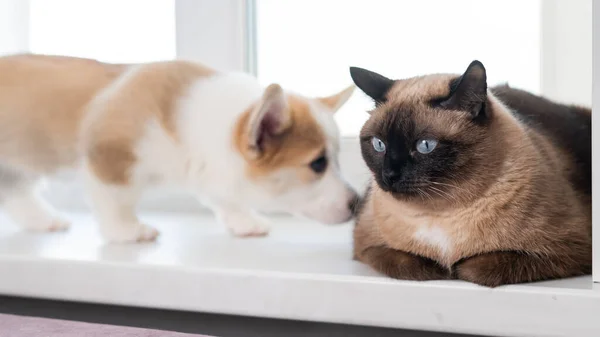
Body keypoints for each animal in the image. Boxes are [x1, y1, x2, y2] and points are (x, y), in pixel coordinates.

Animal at [0, 53, 356, 242]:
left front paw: (244, 221)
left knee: (17, 192)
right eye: (318, 163)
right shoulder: (110, 157)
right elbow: (116, 200)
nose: (356, 204)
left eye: (338, 160)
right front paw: (128, 231)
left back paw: (42, 220)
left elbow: (224, 198)